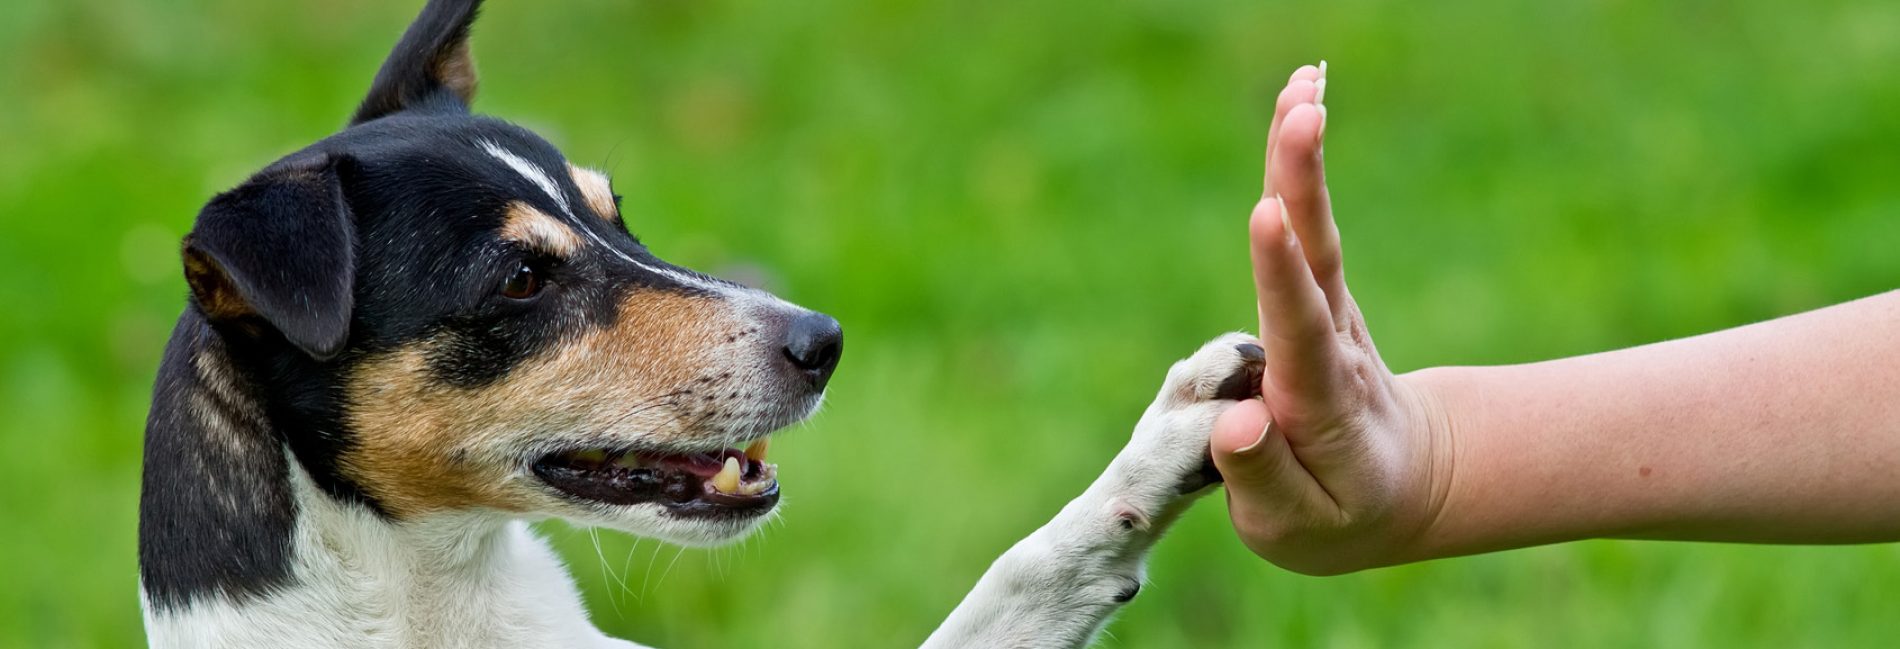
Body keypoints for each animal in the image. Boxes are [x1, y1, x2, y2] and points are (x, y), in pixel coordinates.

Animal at [137, 2, 1261, 645]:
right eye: (518, 280)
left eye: (615, 213)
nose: (823, 341)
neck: (446, 601)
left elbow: (1020, 574)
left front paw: (1161, 450)